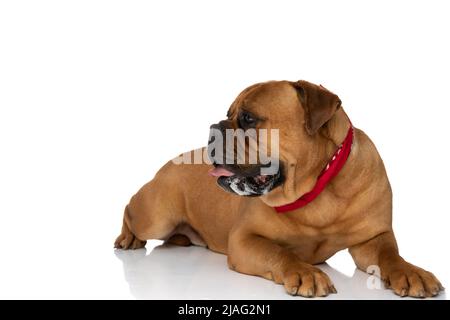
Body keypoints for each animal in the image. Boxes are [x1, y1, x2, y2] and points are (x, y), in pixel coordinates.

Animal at [115, 79, 442, 298]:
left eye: (248, 118)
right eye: (229, 114)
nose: (212, 129)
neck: (317, 185)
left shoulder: (372, 238)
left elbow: (390, 255)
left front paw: (410, 272)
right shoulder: (246, 238)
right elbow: (279, 252)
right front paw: (305, 271)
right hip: (157, 217)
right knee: (129, 209)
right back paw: (128, 237)